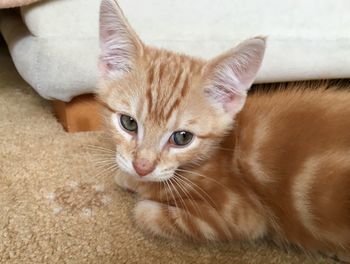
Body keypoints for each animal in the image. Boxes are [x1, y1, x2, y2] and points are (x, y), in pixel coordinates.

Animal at [98, 0, 350, 260]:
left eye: (182, 137)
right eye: (128, 123)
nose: (142, 167)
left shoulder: (238, 217)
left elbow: (144, 211)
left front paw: (137, 184)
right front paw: (130, 175)